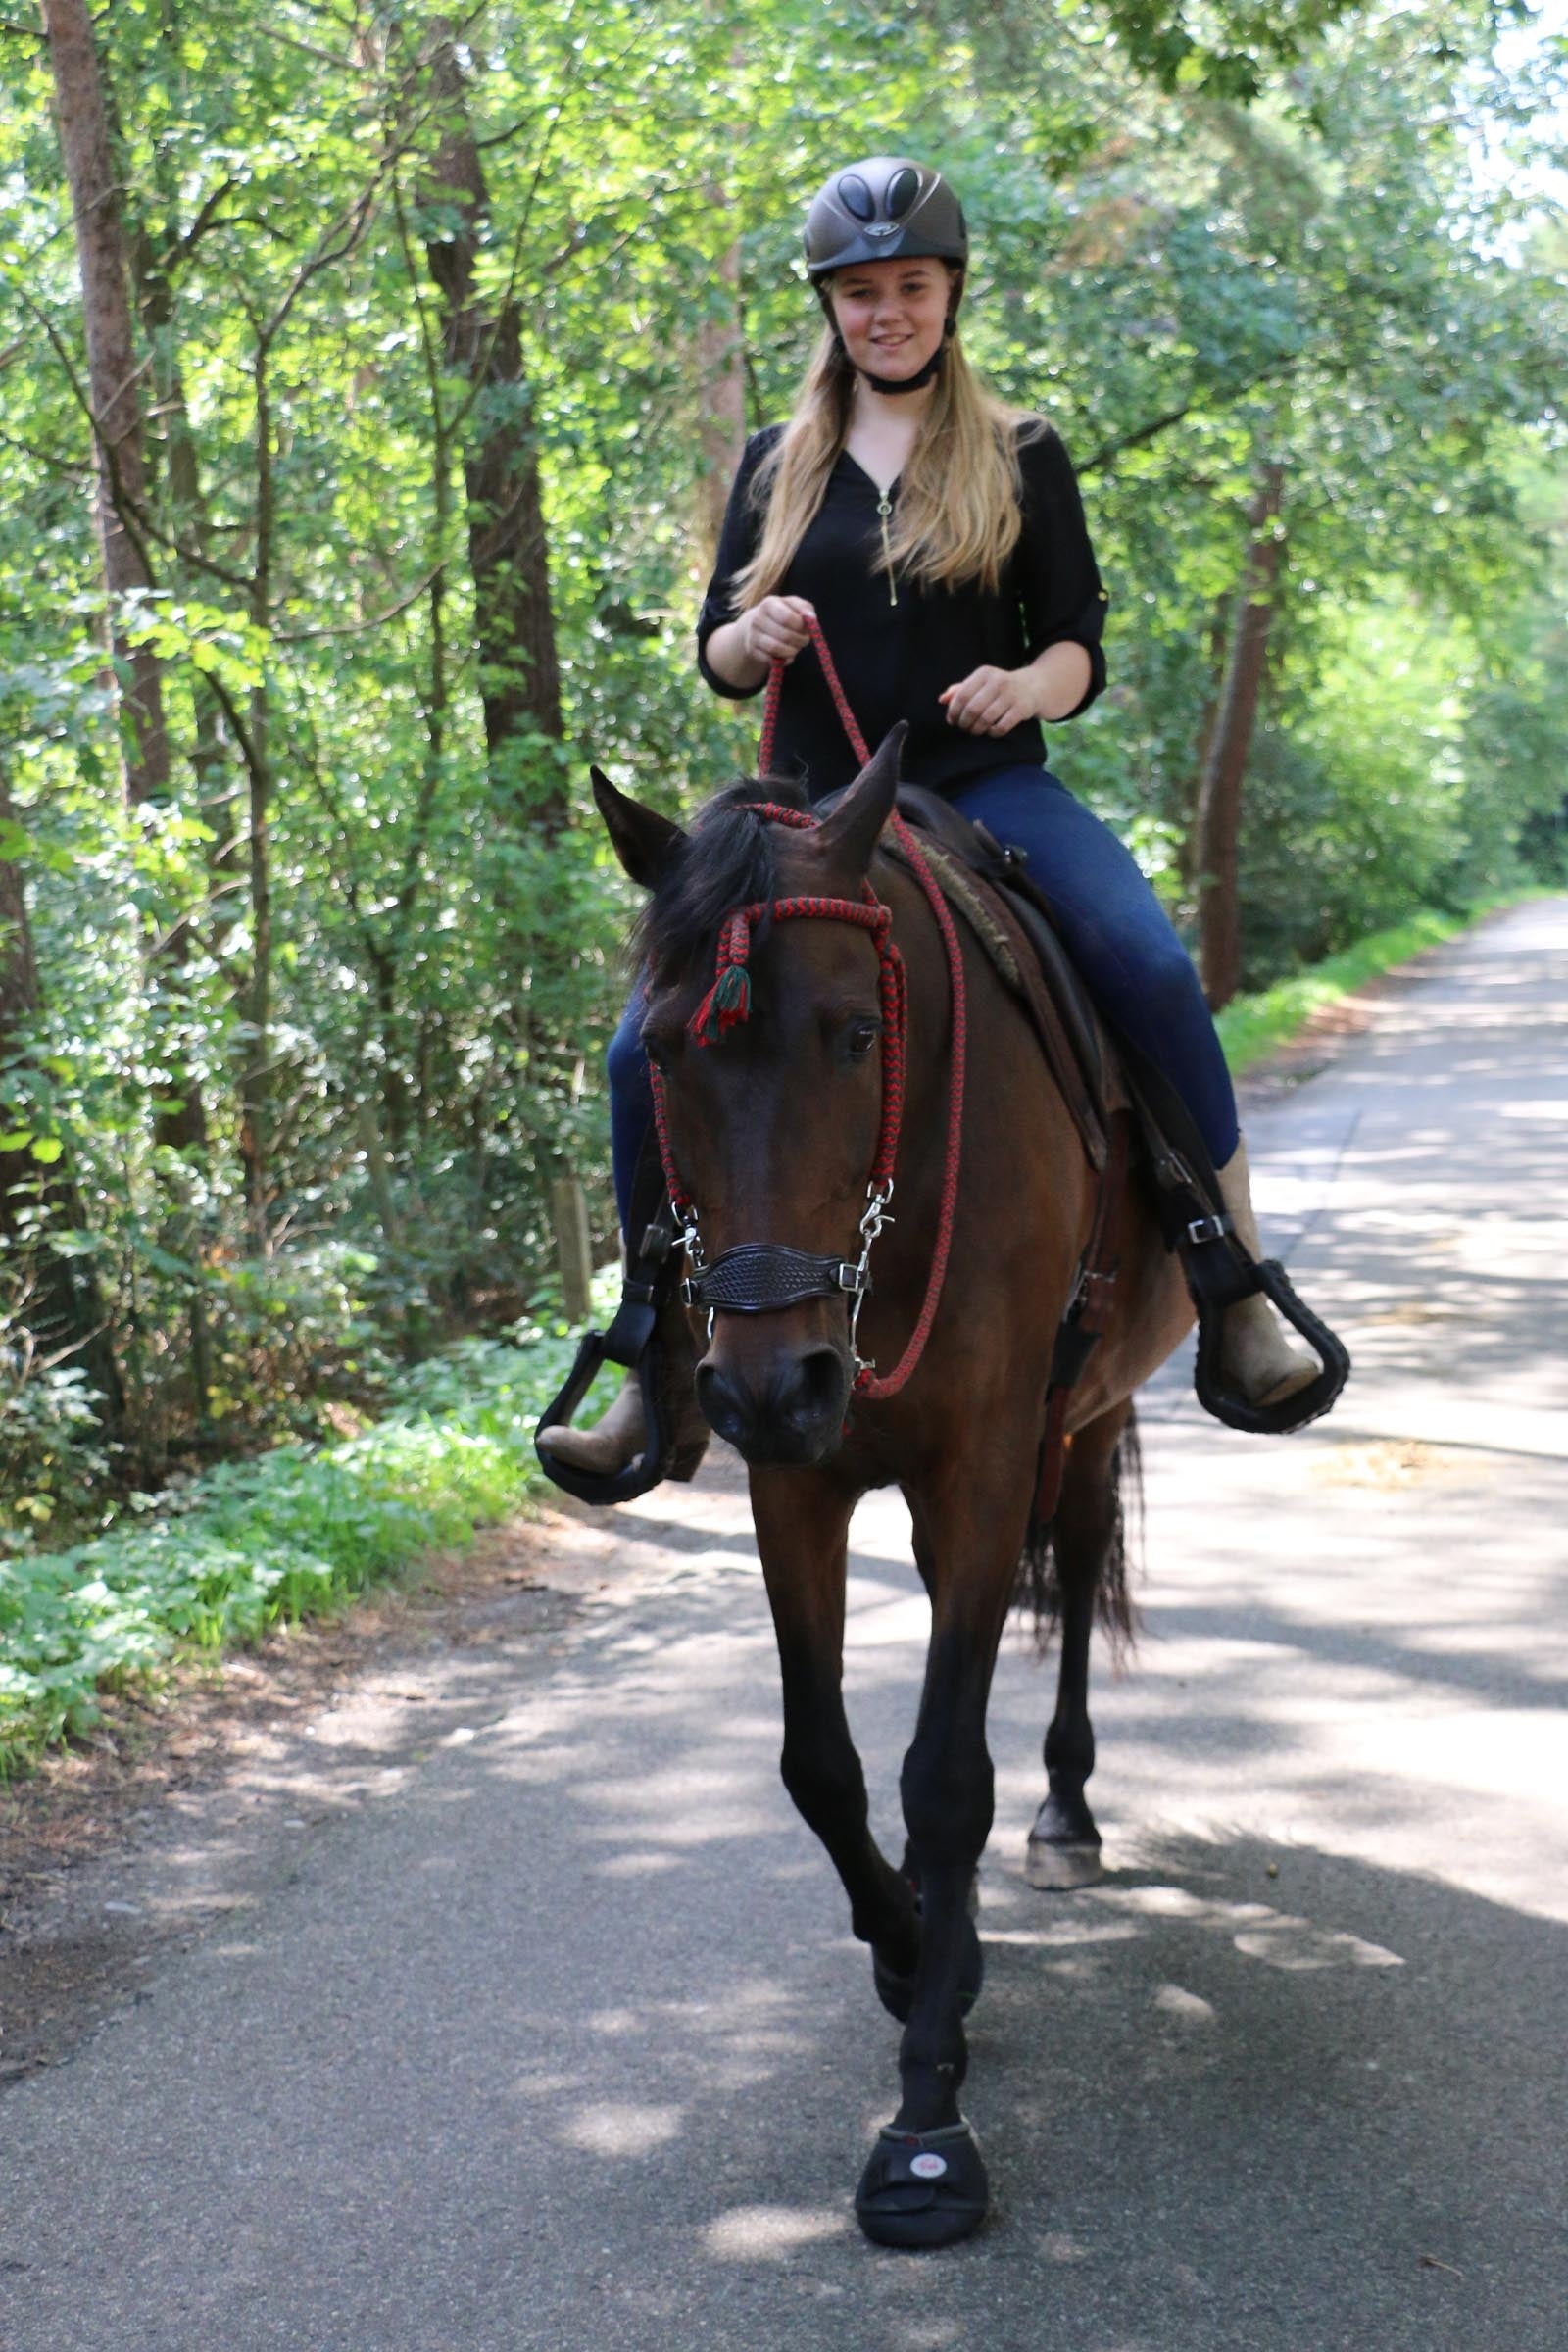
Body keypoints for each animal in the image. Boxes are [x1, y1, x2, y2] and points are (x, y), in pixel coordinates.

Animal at [592, 725, 1194, 2248]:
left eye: (859, 1035)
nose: (770, 1381)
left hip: (1087, 1418)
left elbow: (943, 1776)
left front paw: (927, 2124)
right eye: (663, 1055)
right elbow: (823, 1763)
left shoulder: (981, 1468)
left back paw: (1065, 1813)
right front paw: (917, 1950)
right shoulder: (793, 1487)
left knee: (1070, 1582)